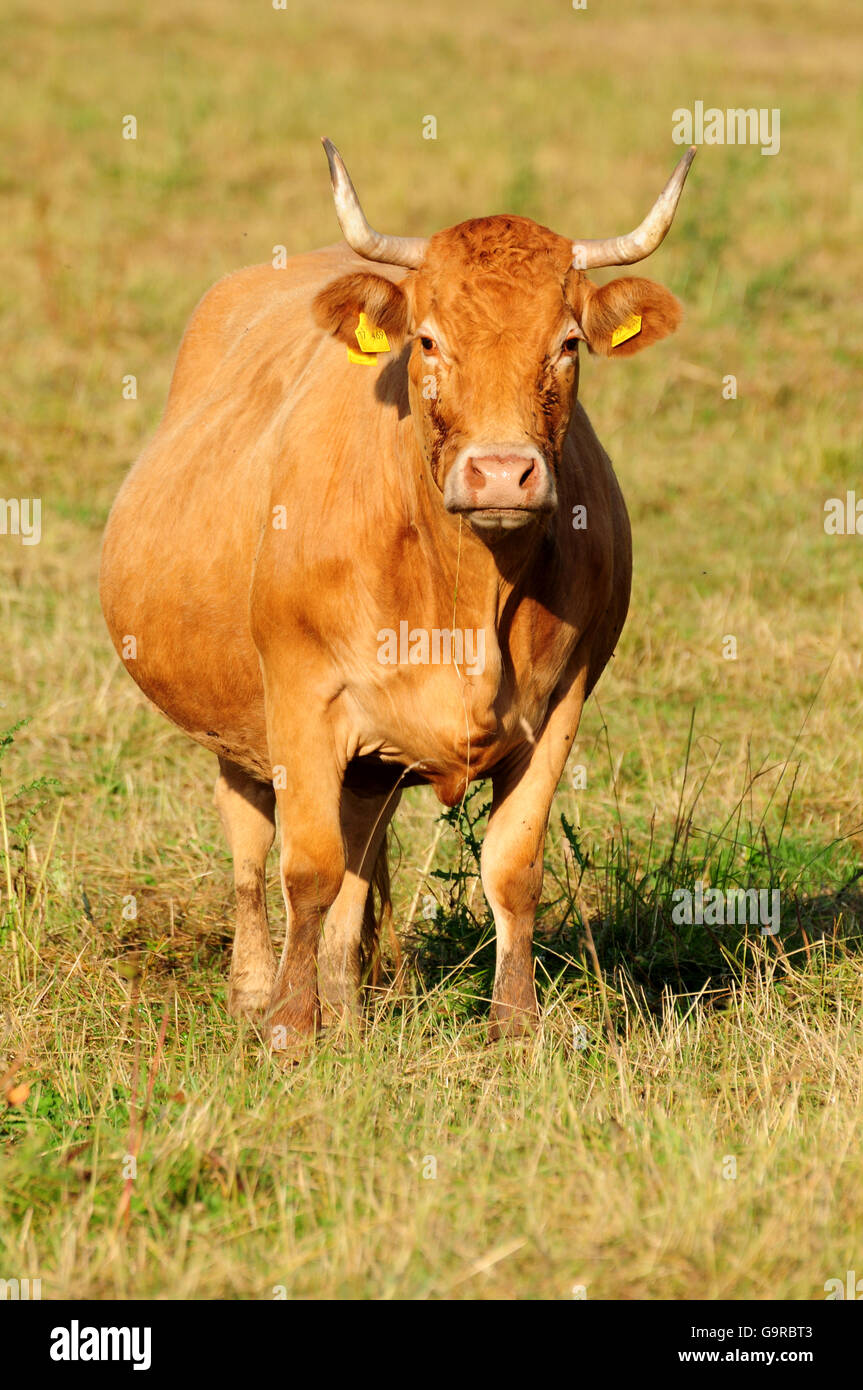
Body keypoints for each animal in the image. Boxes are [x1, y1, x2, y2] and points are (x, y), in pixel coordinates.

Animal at [99, 138, 692, 1050]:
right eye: (427, 340)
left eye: (566, 344)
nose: (500, 472)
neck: (468, 593)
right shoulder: (300, 695)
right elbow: (305, 867)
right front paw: (288, 1024)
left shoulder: (561, 703)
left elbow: (510, 867)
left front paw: (513, 1026)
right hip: (237, 724)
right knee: (251, 848)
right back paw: (254, 991)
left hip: (368, 760)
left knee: (358, 853)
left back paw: (349, 1002)